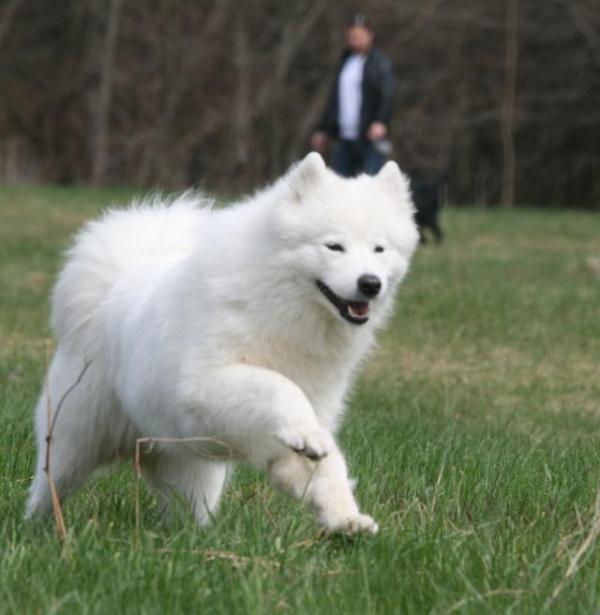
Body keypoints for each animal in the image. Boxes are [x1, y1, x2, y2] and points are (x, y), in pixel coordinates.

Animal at [27, 154, 418, 536]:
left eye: (380, 249)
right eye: (334, 246)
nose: (370, 283)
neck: (282, 309)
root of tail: (114, 284)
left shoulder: (310, 410)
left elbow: (323, 467)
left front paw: (345, 519)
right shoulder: (205, 384)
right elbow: (278, 386)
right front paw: (305, 434)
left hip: (190, 463)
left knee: (186, 508)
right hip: (76, 440)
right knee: (50, 482)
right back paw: (39, 526)